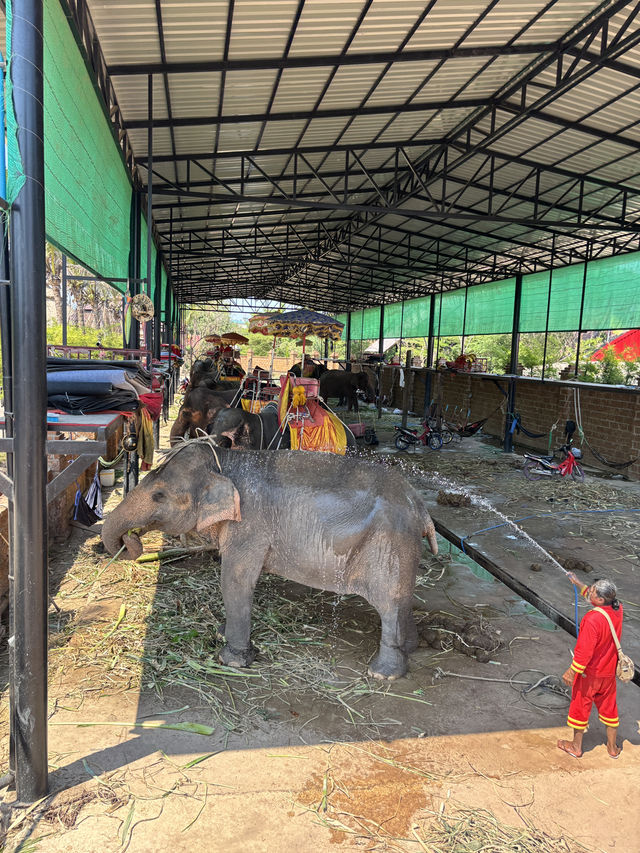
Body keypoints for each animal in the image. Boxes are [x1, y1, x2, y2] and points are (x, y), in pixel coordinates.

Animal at [101, 446, 440, 680]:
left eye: (158, 495)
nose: (131, 539)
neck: (226, 461)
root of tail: (420, 506)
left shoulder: (250, 525)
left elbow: (234, 579)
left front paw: (231, 660)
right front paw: (222, 633)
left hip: (388, 545)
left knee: (389, 604)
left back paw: (383, 674)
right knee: (402, 600)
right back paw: (410, 648)